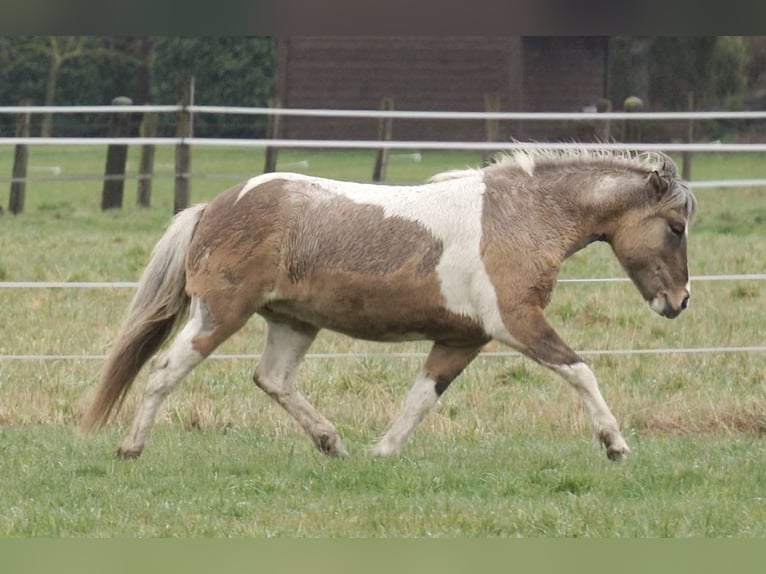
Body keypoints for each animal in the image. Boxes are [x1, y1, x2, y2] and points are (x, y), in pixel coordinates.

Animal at [80, 148, 696, 461]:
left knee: (273, 379)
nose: (679, 301)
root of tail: (214, 206)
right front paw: (615, 445)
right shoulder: (516, 323)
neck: (519, 215)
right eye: (674, 227)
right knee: (165, 371)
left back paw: (332, 443)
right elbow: (580, 370)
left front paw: (383, 452)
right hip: (219, 313)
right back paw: (130, 448)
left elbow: (422, 397)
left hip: (293, 322)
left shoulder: (462, 337)